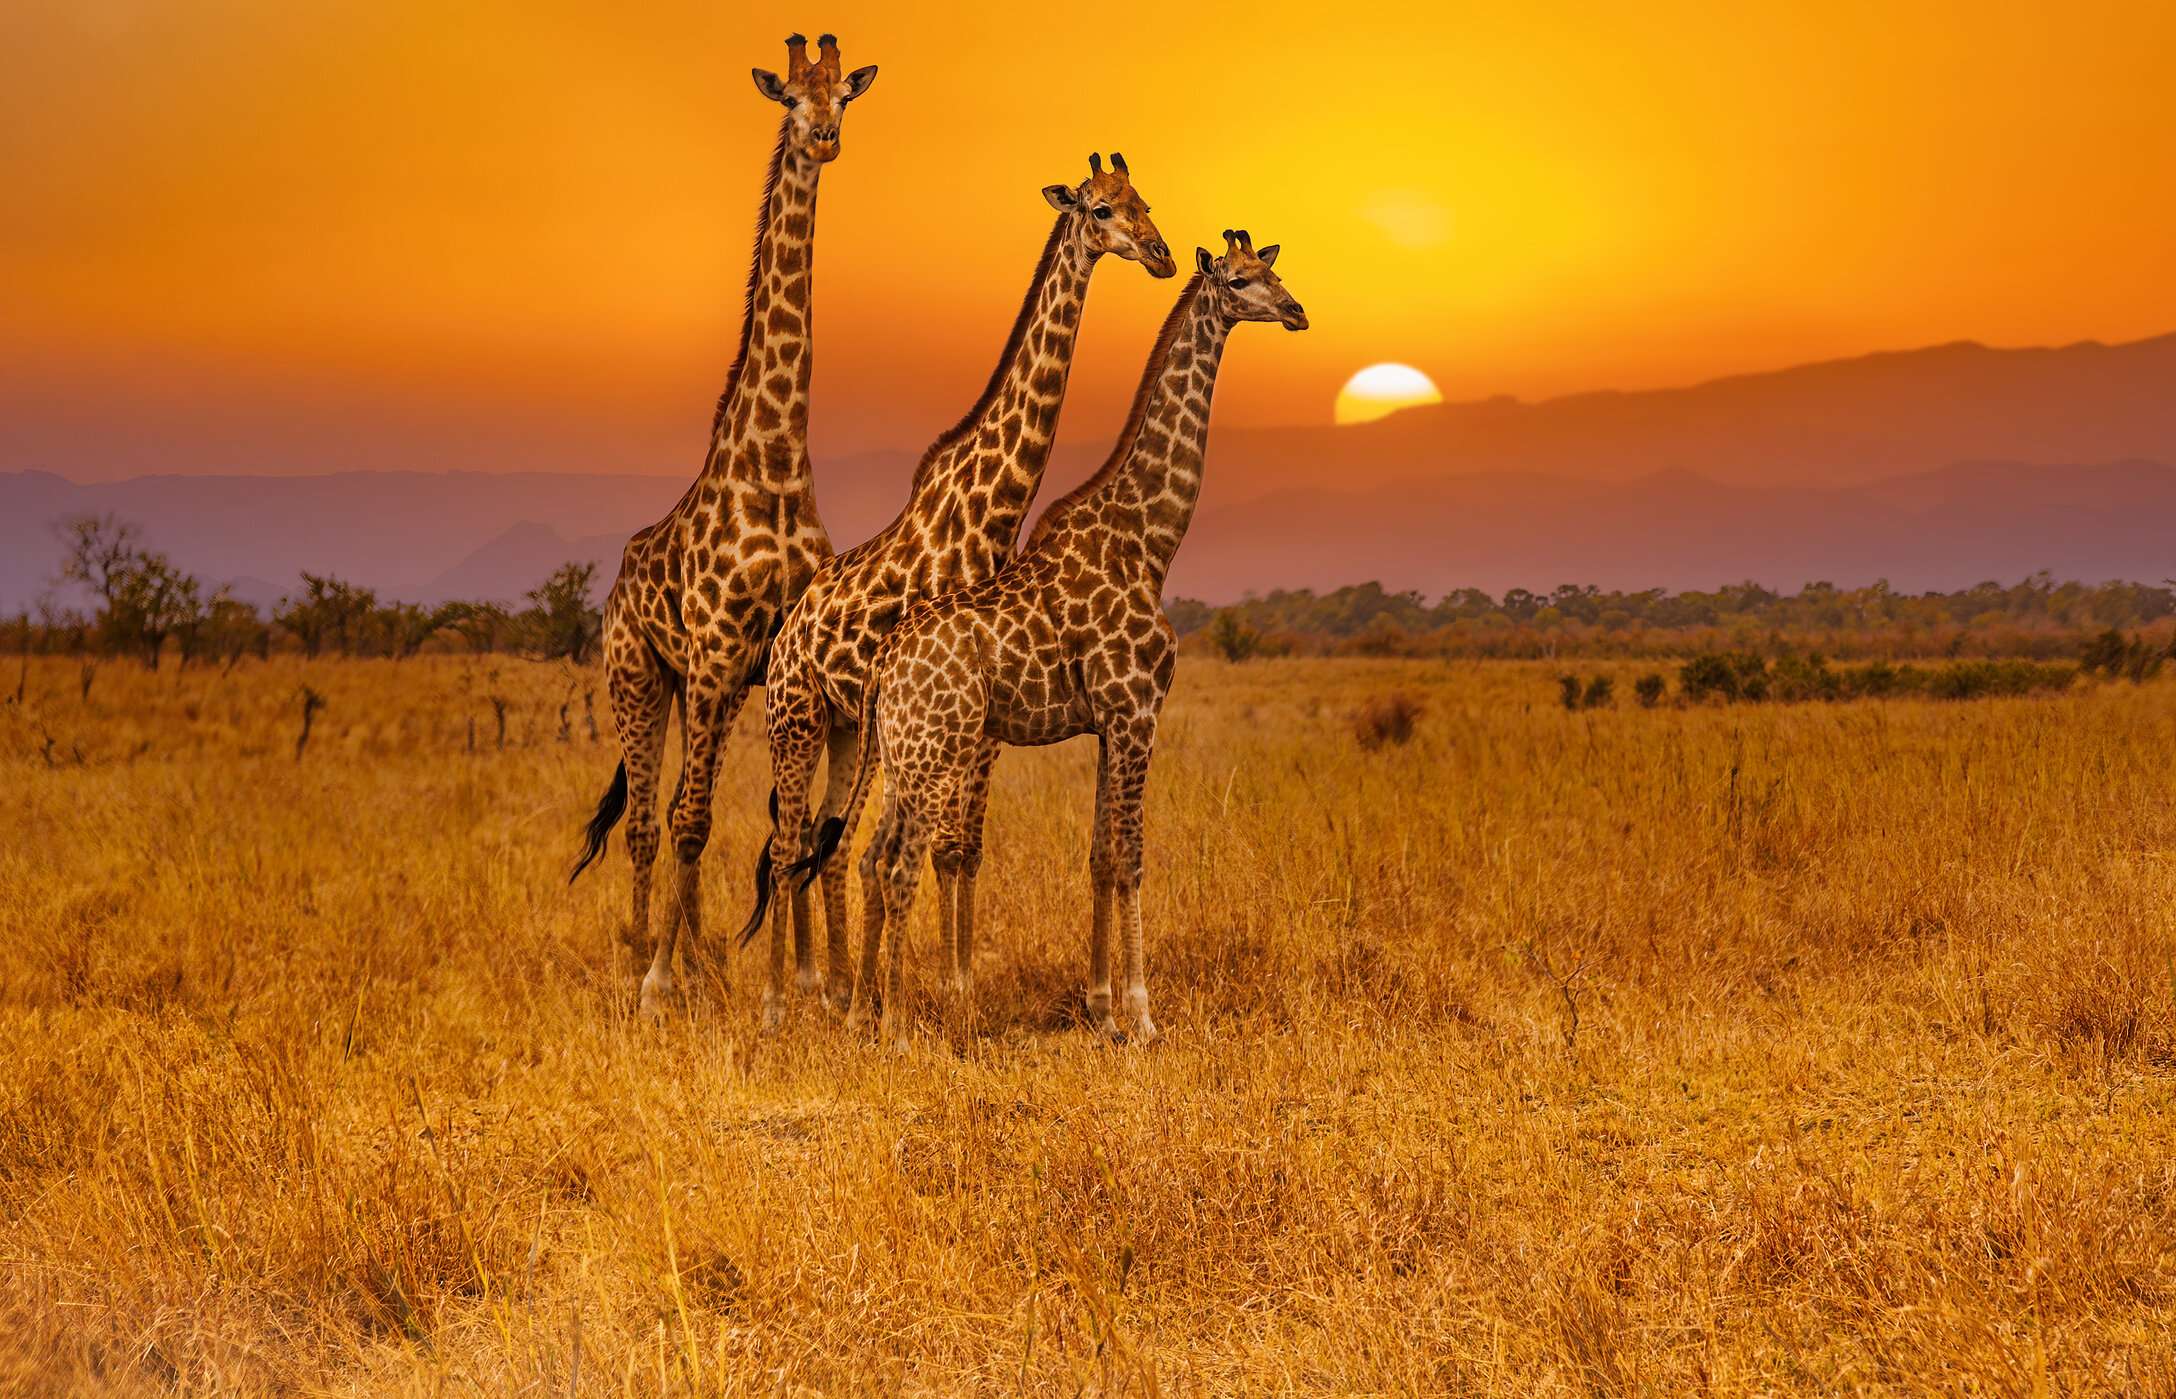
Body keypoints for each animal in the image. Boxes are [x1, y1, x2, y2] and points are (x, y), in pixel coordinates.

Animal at [569, 34, 876, 1015]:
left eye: (843, 98)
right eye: (789, 99)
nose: (824, 140)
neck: (775, 462)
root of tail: (617, 581)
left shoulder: (773, 659)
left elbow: (791, 822)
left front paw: (807, 979)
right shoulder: (709, 654)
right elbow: (696, 819)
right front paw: (659, 980)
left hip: (708, 686)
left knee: (674, 810)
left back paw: (700, 954)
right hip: (639, 676)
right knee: (649, 818)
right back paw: (645, 957)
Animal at [736, 153, 1175, 1028]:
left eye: (1144, 201)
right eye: (1102, 209)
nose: (1161, 254)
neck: (987, 511)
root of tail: (789, 631)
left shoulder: (985, 717)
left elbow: (963, 848)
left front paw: (951, 984)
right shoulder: (961, 711)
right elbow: (939, 847)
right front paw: (941, 992)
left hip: (848, 728)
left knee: (825, 847)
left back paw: (834, 987)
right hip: (796, 719)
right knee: (794, 841)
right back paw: (784, 998)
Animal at [814, 230, 1306, 1048]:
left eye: (1273, 270)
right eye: (1239, 281)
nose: (1298, 310)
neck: (1149, 542)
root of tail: (885, 664)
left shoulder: (1108, 722)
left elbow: (1100, 856)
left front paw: (1102, 1007)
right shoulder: (1137, 710)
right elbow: (1132, 858)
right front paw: (1142, 1016)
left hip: (905, 751)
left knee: (873, 855)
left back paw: (863, 1013)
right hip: (936, 749)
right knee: (896, 861)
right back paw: (896, 1026)